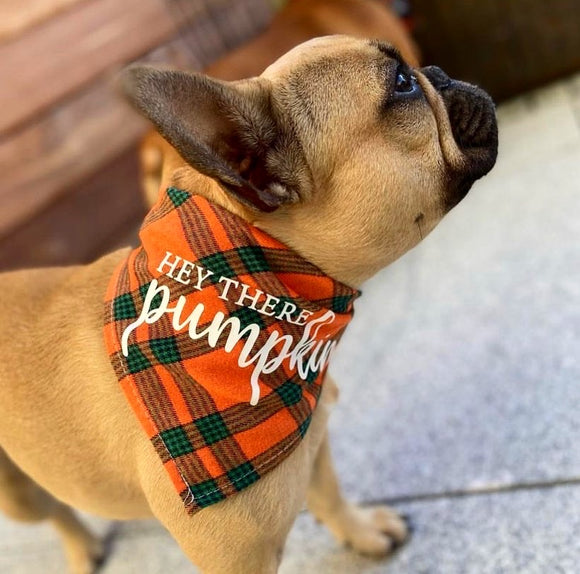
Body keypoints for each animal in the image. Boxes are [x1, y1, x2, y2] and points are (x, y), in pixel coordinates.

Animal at [0, 37, 498, 574]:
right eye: (403, 85)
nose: (437, 70)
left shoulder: (314, 444)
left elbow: (330, 496)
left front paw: (363, 533)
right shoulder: (237, 561)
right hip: (20, 496)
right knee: (54, 511)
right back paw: (81, 550)